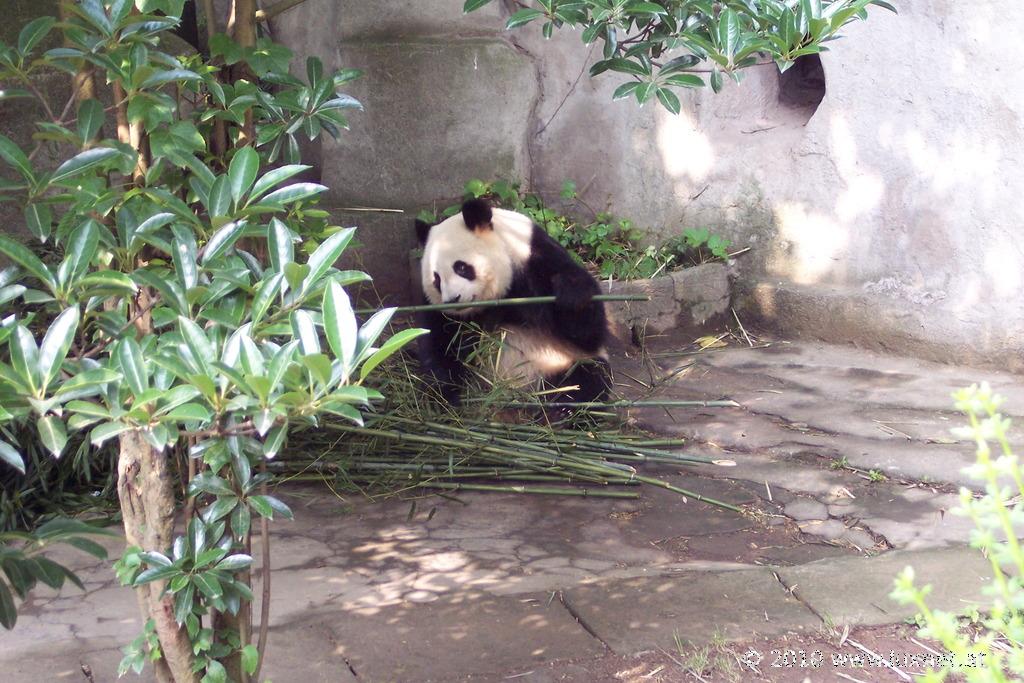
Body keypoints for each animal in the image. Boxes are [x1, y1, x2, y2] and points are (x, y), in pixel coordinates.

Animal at [413, 197, 610, 409]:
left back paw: (562, 407)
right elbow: (439, 343)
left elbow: (588, 333)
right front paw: (444, 396)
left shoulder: (537, 259)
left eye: (461, 268)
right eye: (436, 279)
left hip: (563, 360)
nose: (453, 300)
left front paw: (571, 297)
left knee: (586, 378)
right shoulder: (437, 310)